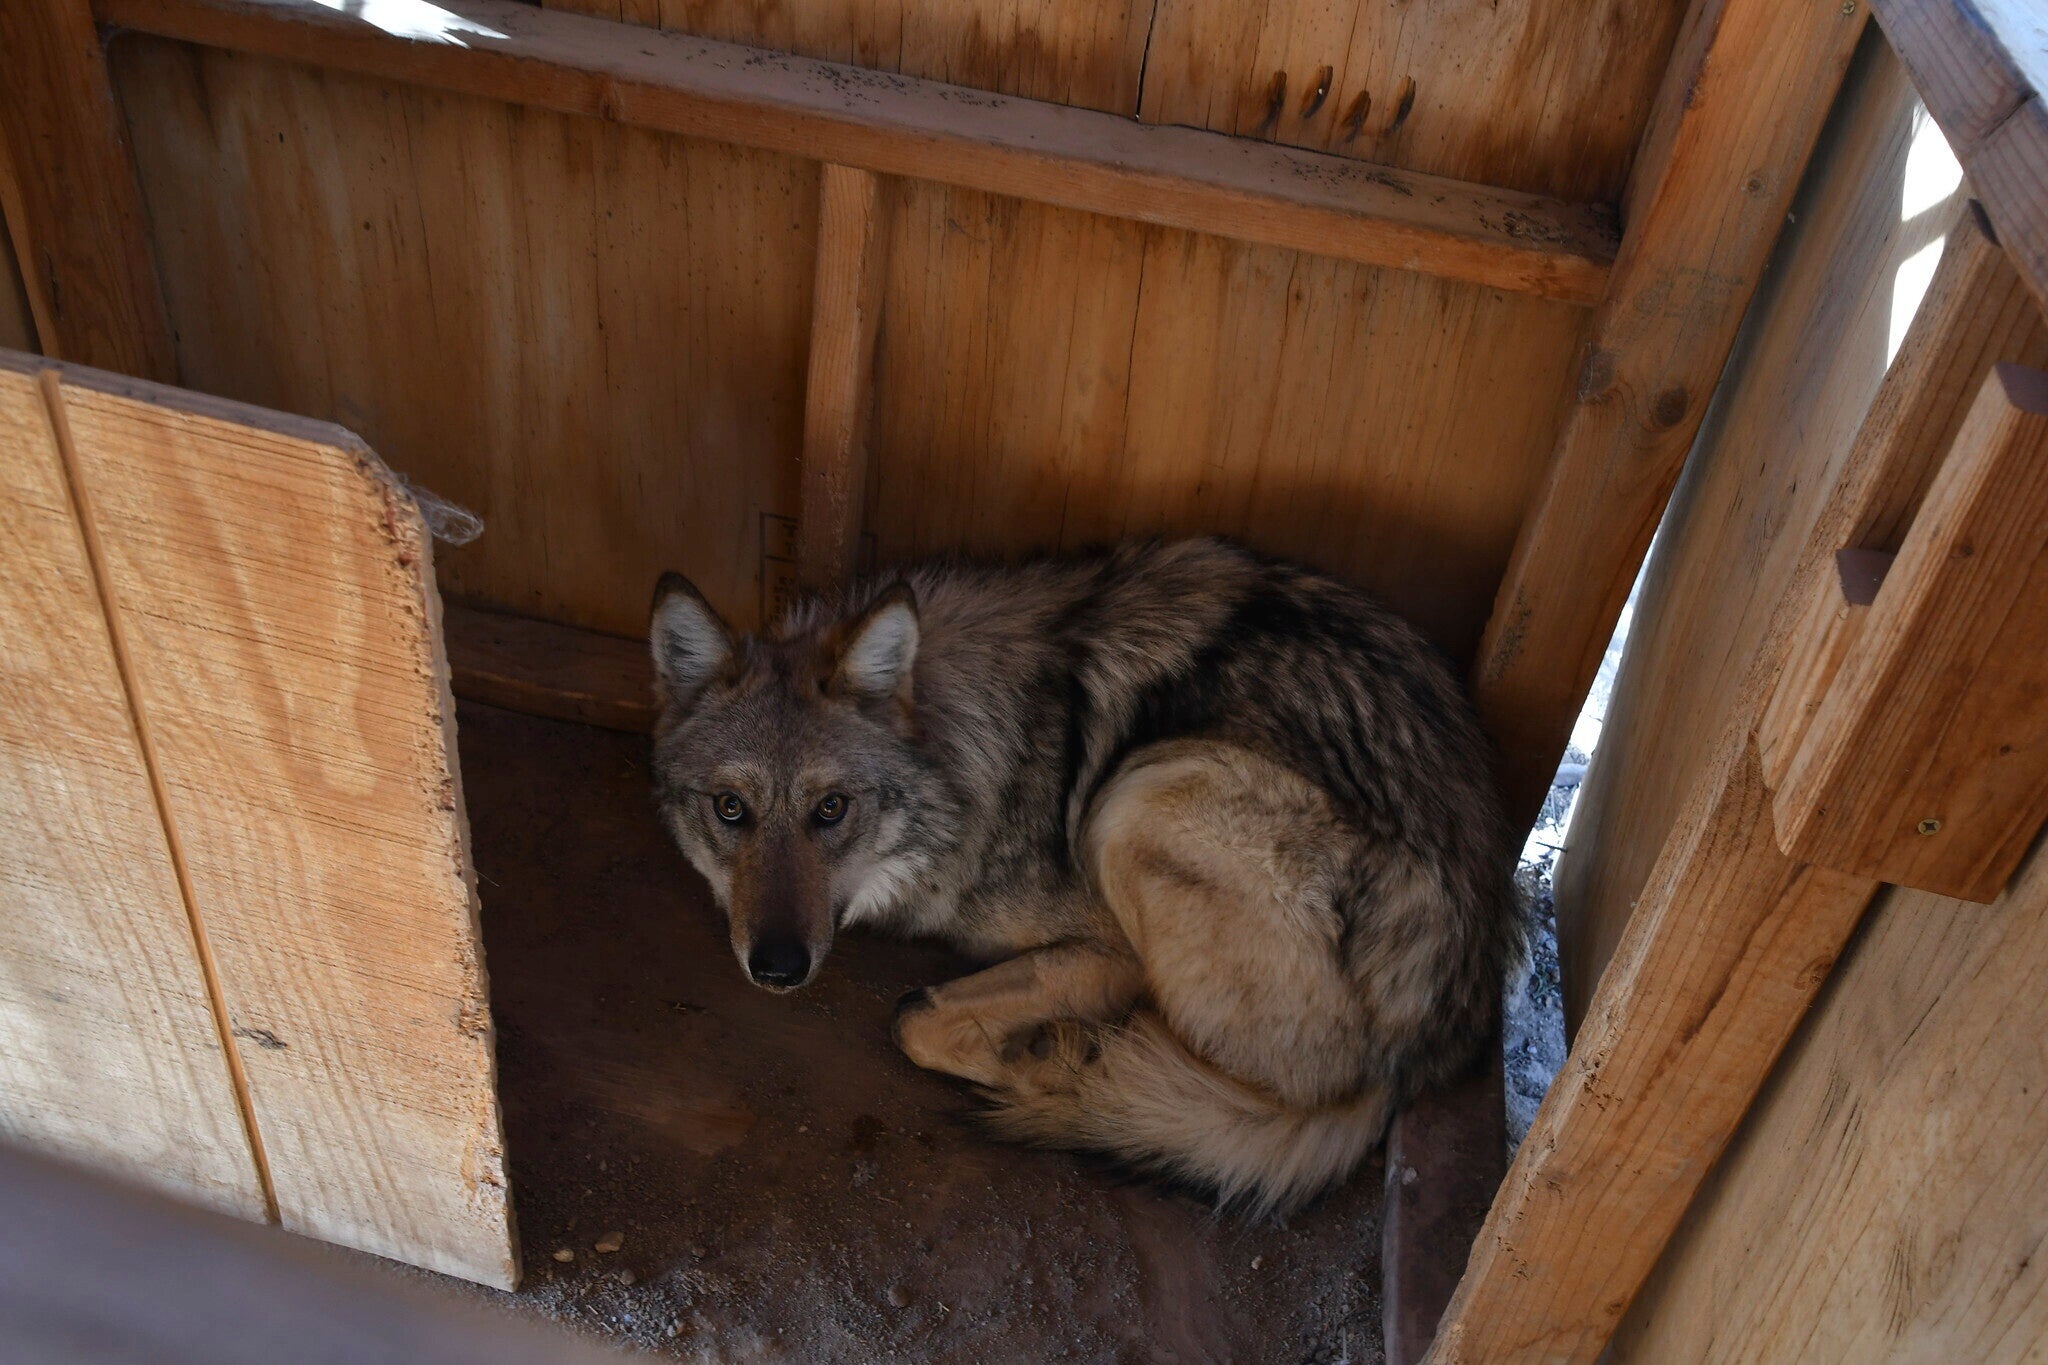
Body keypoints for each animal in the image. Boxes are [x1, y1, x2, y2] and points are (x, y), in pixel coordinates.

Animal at [647, 537, 1522, 1214]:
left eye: (831, 809)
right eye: (731, 809)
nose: (778, 967)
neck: (972, 751)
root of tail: (1423, 1052)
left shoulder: (1111, 946)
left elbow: (915, 1019)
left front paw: (1034, 1044)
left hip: (1141, 798)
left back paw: (1068, 1063)